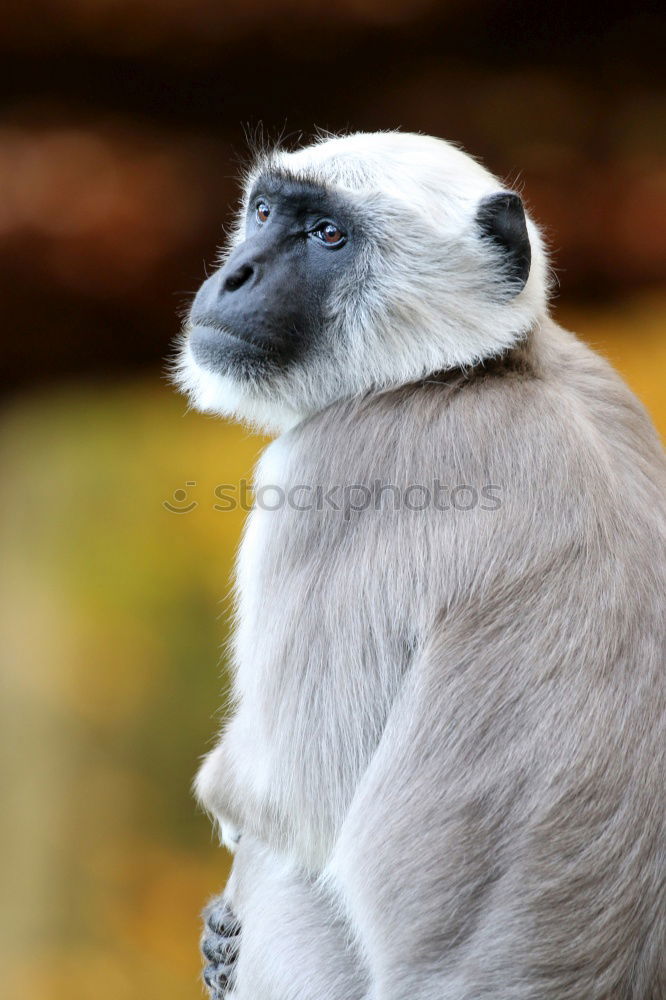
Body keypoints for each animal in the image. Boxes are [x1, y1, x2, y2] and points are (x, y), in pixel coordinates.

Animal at [176, 133, 664, 1000]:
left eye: (329, 236)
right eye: (263, 213)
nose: (237, 274)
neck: (474, 372)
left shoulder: (333, 469)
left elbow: (287, 793)